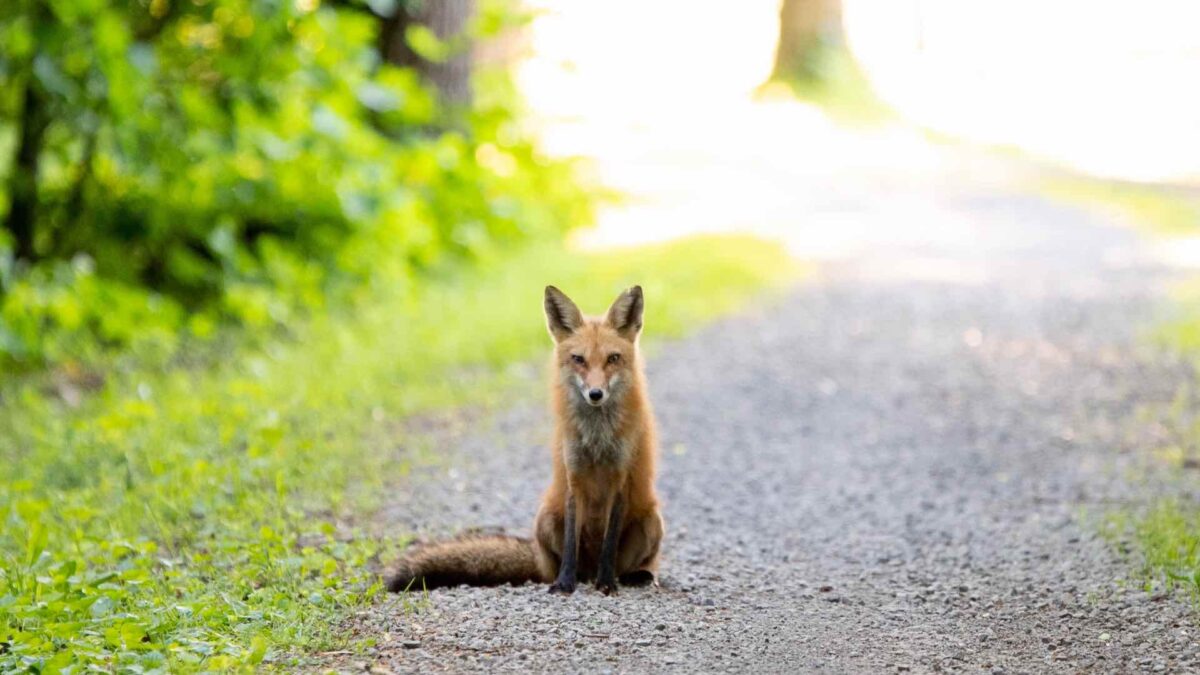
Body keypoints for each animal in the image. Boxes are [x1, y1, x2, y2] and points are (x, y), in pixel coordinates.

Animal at [386, 283, 662, 593]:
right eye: (578, 359)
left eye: (613, 358)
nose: (595, 394)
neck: (596, 437)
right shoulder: (573, 476)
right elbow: (570, 544)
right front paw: (564, 584)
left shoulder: (621, 478)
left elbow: (609, 544)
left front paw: (606, 584)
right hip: (546, 518)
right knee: (558, 564)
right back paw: (571, 577)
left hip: (651, 521)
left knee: (631, 563)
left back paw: (631, 576)